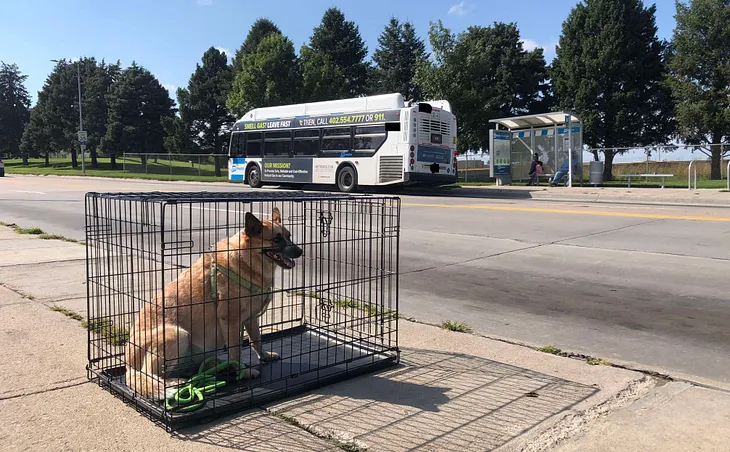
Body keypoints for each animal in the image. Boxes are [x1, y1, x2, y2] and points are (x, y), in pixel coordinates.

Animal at [123, 207, 300, 400]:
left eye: (289, 236)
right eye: (276, 239)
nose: (300, 251)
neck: (245, 260)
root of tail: (128, 366)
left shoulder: (251, 319)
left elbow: (256, 340)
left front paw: (264, 356)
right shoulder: (230, 321)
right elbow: (236, 350)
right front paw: (243, 372)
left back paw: (216, 367)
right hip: (177, 335)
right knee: (151, 374)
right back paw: (173, 383)